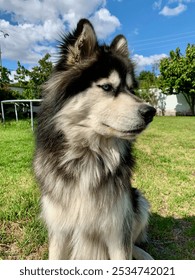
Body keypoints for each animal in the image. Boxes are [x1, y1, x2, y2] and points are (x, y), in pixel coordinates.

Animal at [33, 18, 155, 260]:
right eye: (107, 87)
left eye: (130, 89)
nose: (150, 112)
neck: (88, 154)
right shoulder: (58, 229)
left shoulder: (118, 228)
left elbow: (124, 250)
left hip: (137, 201)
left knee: (133, 241)